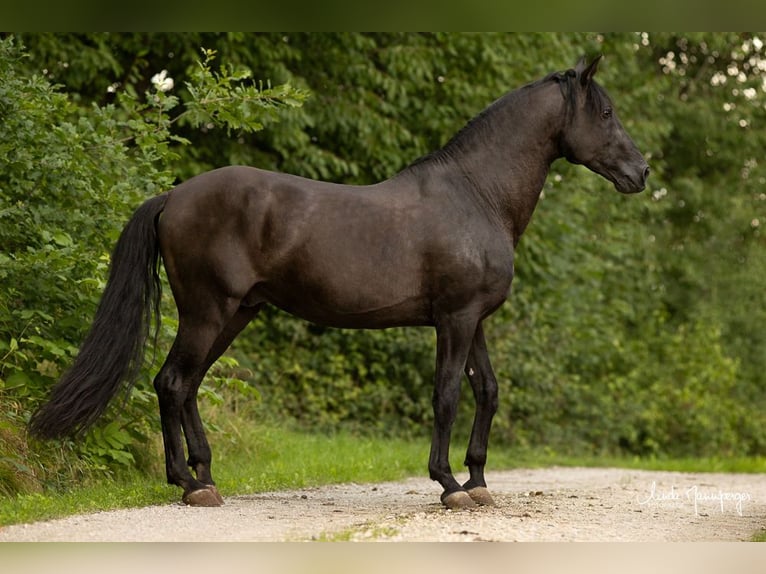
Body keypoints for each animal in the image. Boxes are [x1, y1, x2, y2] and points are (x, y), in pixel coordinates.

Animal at [29, 56, 649, 510]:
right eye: (606, 112)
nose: (641, 173)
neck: (477, 194)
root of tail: (173, 197)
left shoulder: (475, 320)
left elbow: (488, 392)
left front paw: (477, 482)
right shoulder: (454, 319)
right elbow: (447, 395)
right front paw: (449, 484)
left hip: (236, 314)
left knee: (186, 385)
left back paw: (204, 475)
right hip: (207, 312)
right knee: (172, 382)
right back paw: (188, 482)